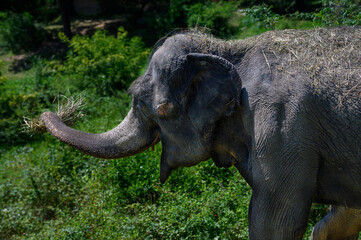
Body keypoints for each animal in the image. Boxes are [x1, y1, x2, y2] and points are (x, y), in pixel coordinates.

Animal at [39, 26, 360, 240]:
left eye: (161, 109)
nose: (53, 110)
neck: (229, 48)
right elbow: (342, 216)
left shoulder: (283, 129)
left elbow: (275, 222)